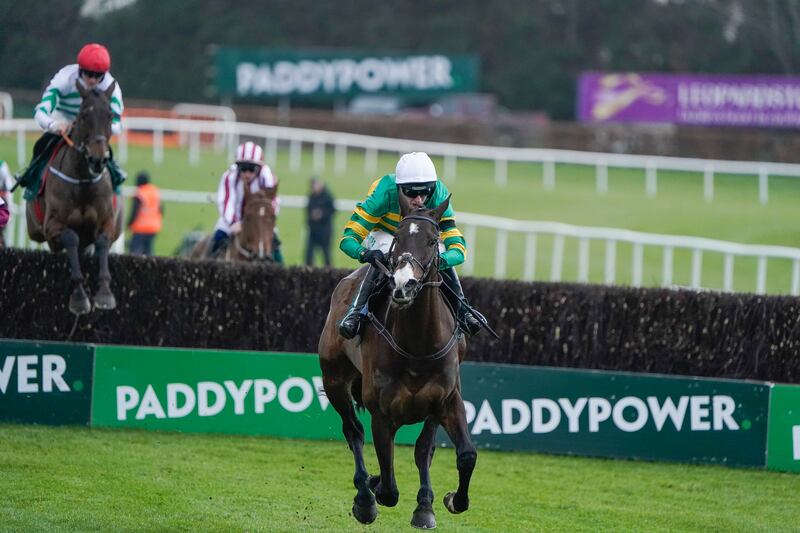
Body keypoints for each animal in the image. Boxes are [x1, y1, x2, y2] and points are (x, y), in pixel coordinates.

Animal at [24, 82, 122, 314]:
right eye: (83, 115)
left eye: (110, 115)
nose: (97, 160)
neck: (83, 181)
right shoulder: (52, 225)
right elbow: (71, 238)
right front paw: (79, 298)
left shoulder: (107, 221)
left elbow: (102, 240)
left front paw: (105, 294)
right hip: (35, 230)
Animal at [318, 195, 476, 528]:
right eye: (397, 240)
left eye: (432, 240)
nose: (404, 284)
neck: (417, 346)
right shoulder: (381, 411)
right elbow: (389, 487)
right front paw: (371, 491)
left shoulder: (446, 399)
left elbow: (460, 454)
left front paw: (443, 502)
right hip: (334, 379)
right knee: (353, 432)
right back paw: (365, 495)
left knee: (421, 449)